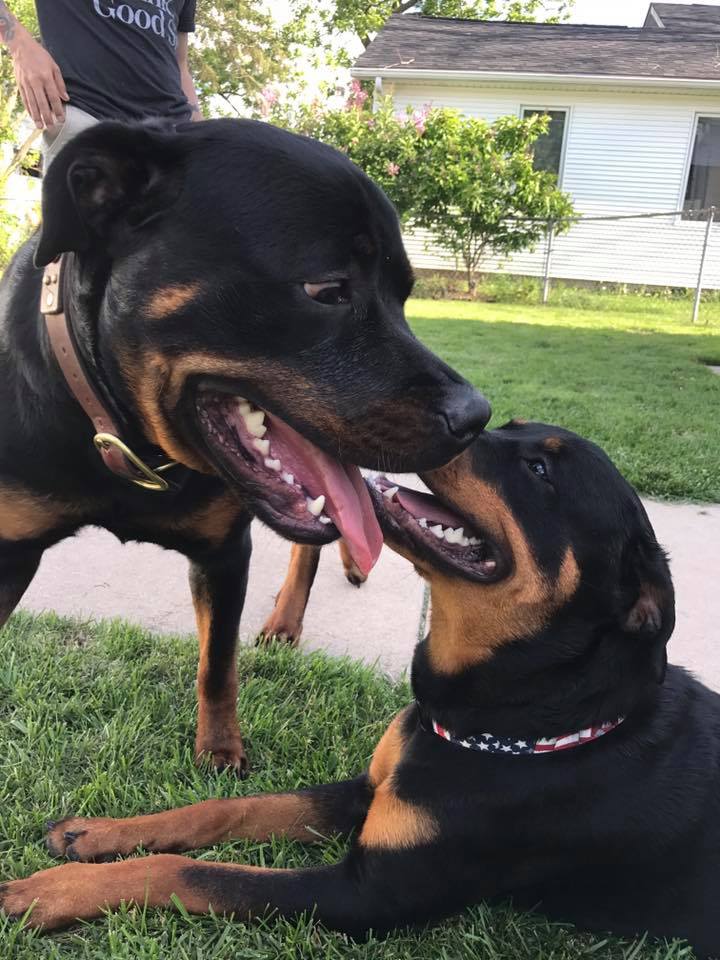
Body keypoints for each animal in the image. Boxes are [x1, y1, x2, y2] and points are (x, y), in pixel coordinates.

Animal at [0, 120, 490, 776]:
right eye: (327, 288)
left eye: (404, 295)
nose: (476, 416)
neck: (126, 435)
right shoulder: (8, 551)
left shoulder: (225, 551)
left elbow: (218, 664)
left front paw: (219, 750)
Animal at [4, 424, 716, 956]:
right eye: (513, 429)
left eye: (541, 470)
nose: (464, 417)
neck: (529, 716)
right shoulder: (370, 789)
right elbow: (223, 808)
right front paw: (96, 833)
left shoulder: (364, 894)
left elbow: (193, 873)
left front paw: (49, 892)